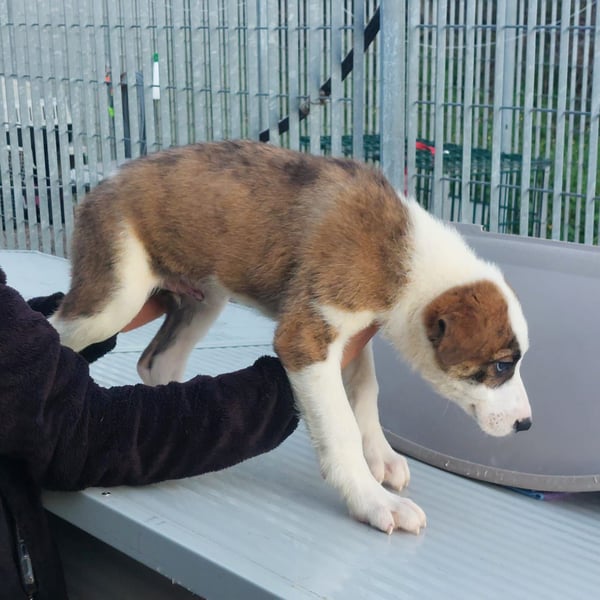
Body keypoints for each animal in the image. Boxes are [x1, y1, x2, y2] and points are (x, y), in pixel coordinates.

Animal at [50, 140, 531, 535]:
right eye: (502, 365)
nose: (525, 425)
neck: (402, 253)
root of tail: (103, 183)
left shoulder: (351, 332)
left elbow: (365, 391)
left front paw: (380, 455)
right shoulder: (305, 337)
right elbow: (340, 426)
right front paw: (372, 501)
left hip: (203, 297)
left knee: (156, 362)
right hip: (115, 295)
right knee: (58, 332)